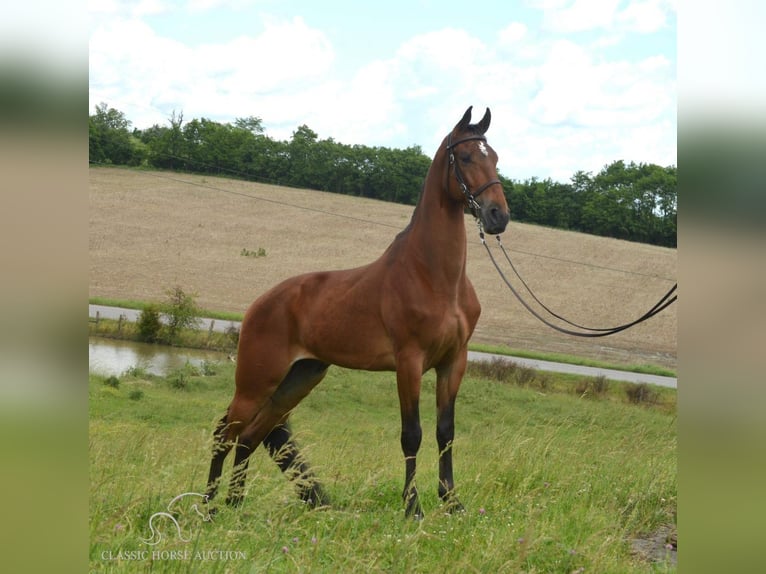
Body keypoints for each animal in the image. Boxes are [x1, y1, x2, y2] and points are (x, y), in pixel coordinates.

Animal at [207, 106, 512, 520]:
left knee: (252, 436)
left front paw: (452, 502)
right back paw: (207, 507)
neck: (435, 276)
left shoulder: (454, 362)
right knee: (226, 433)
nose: (498, 216)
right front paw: (412, 507)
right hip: (256, 381)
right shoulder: (409, 362)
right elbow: (412, 434)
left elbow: (445, 432)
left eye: (493, 157)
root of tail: (260, 302)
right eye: (465, 157)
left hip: (299, 378)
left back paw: (235, 505)